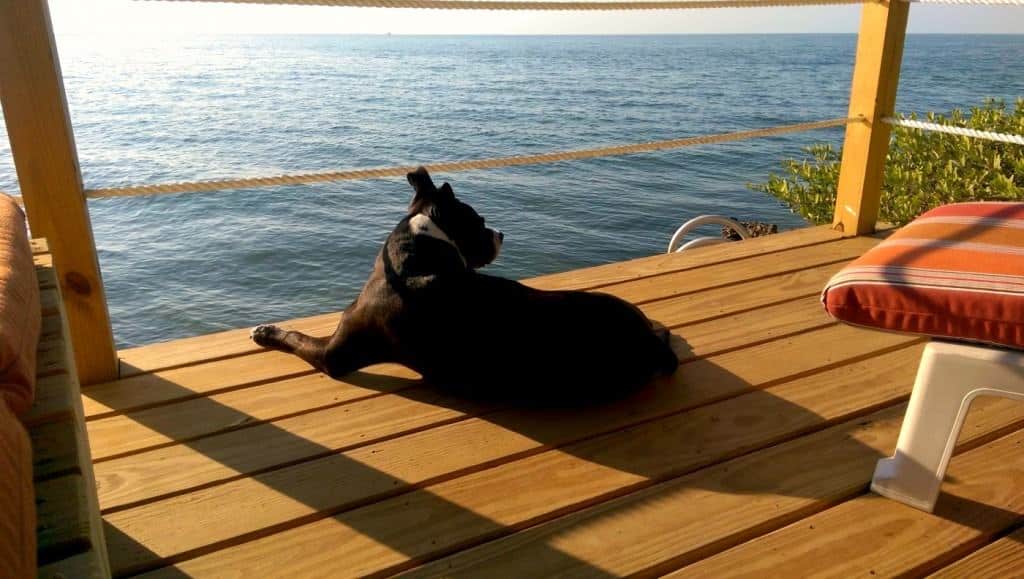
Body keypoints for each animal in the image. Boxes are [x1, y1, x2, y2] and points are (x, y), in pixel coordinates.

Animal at [250, 166, 675, 401]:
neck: (418, 251)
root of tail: (647, 344)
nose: (502, 233)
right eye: (480, 220)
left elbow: (295, 336)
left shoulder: (334, 354)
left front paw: (267, 331)